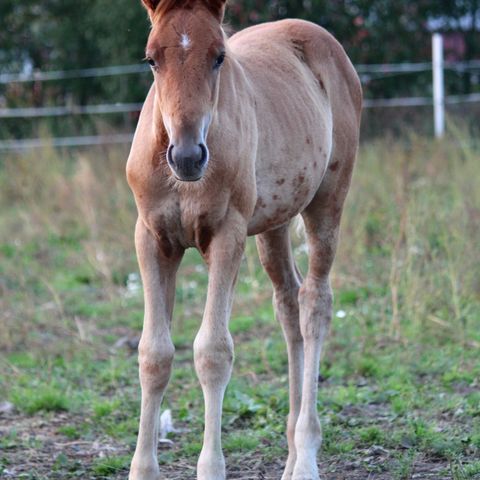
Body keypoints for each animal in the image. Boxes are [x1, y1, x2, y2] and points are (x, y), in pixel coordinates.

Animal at [125, 1, 362, 478]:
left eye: (220, 56)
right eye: (151, 59)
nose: (187, 156)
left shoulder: (226, 235)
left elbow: (213, 352)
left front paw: (211, 467)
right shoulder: (153, 238)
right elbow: (154, 354)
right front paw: (142, 469)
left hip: (327, 202)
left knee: (316, 304)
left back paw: (305, 458)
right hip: (274, 221)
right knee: (289, 305)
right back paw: (290, 459)